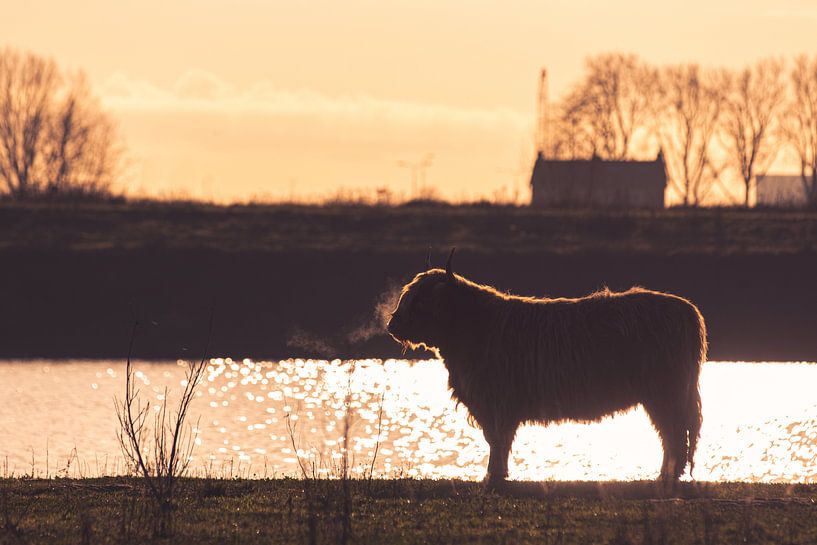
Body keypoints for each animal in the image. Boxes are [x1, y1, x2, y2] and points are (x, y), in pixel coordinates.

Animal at [386, 249, 704, 482]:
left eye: (421, 302)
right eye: (406, 297)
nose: (392, 325)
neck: (472, 327)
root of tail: (685, 308)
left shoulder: (497, 403)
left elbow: (497, 441)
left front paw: (493, 477)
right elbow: (496, 441)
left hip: (665, 393)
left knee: (674, 432)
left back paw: (667, 476)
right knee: (673, 434)